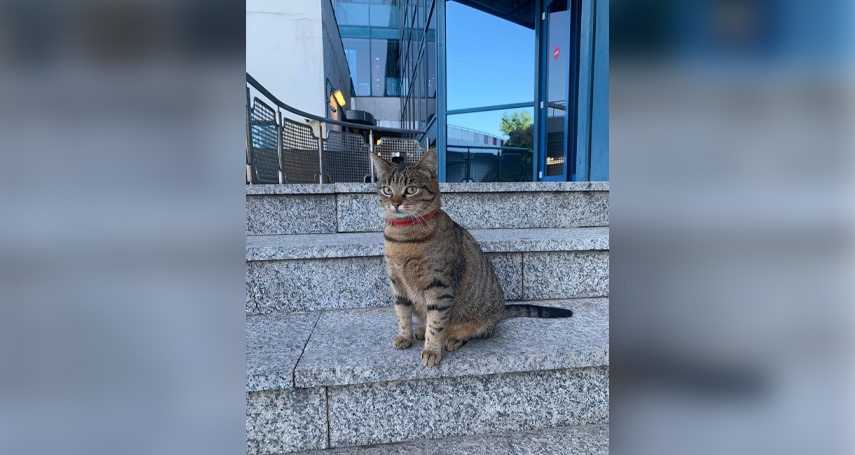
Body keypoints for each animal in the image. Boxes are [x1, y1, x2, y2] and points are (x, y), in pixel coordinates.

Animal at [372, 148, 572, 368]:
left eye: (411, 189)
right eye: (387, 190)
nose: (395, 203)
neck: (403, 238)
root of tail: (501, 311)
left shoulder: (439, 287)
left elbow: (435, 323)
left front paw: (431, 350)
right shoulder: (397, 283)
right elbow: (402, 314)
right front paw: (404, 336)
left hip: (479, 320)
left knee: (475, 331)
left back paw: (452, 338)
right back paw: (420, 330)